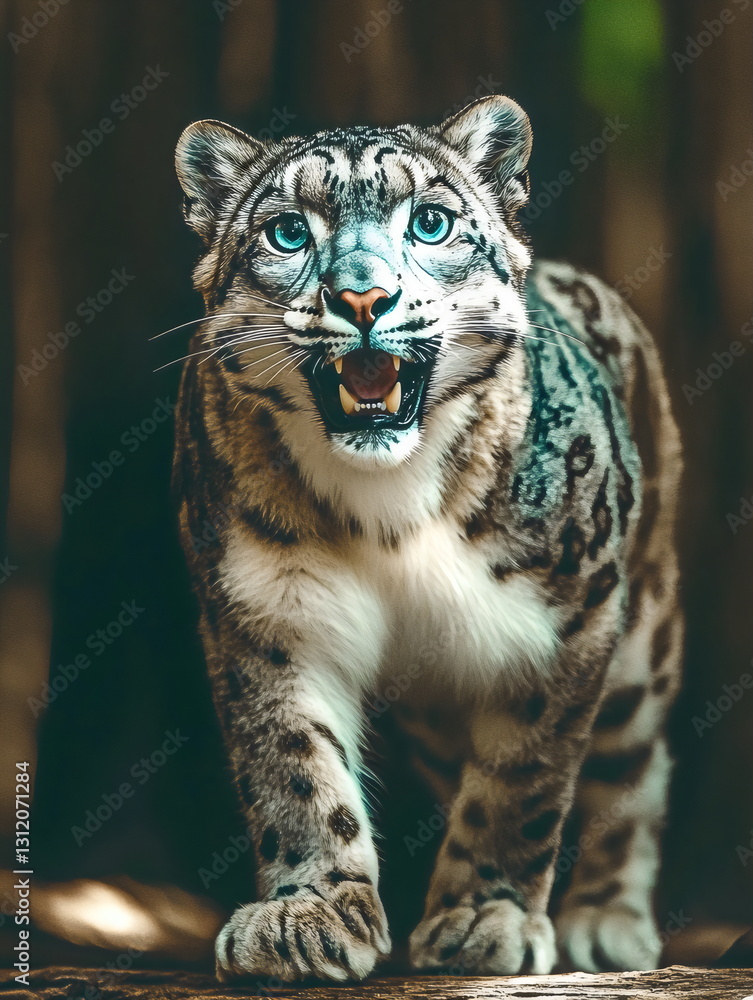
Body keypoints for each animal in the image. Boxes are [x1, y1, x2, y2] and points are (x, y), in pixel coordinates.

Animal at [171, 95, 683, 982]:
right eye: (287, 232)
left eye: (431, 222)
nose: (363, 299)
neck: (388, 511)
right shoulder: (263, 614)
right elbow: (292, 763)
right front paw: (306, 914)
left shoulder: (566, 619)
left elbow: (524, 781)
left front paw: (486, 917)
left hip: (637, 633)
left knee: (631, 763)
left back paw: (606, 919)